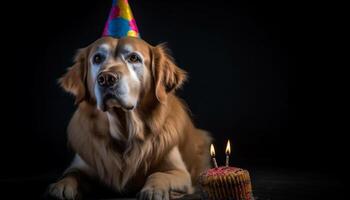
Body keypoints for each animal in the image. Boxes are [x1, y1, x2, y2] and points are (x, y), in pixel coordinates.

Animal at [47, 36, 212, 200]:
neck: (125, 133)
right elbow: (71, 174)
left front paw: (153, 189)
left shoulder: (180, 173)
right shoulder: (83, 163)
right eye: (97, 58)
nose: (106, 78)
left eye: (133, 58)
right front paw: (60, 186)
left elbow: (159, 174)